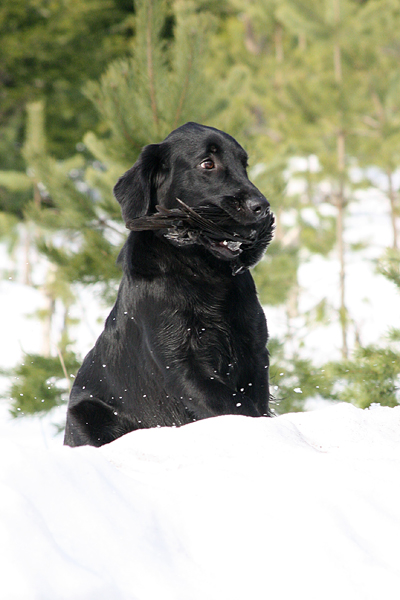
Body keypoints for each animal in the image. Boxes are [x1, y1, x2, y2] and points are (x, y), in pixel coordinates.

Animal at [64, 122, 276, 446]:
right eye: (207, 164)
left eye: (244, 164)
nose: (261, 207)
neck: (201, 271)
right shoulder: (182, 365)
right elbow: (238, 407)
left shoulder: (254, 351)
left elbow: (254, 404)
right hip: (87, 415)